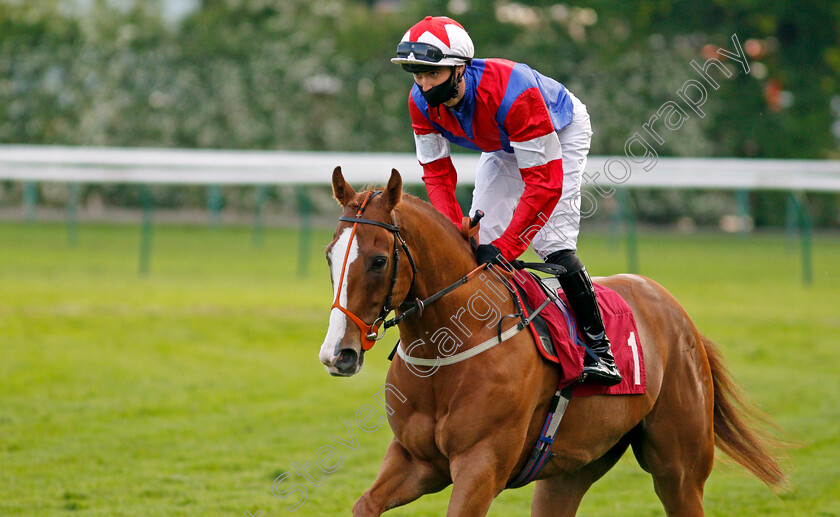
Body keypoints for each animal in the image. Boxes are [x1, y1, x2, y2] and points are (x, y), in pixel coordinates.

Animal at [318, 167, 784, 512]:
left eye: (379, 260)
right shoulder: (415, 461)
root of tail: (677, 312)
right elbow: (364, 505)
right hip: (570, 470)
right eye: (329, 255)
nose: (338, 354)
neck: (448, 350)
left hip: (679, 469)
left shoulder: (481, 466)